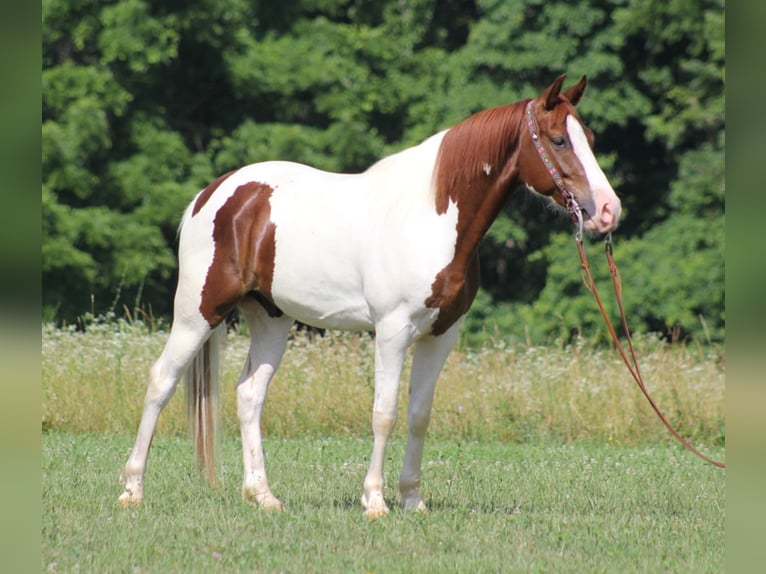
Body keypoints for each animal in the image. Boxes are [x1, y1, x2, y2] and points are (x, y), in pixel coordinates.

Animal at [118, 74, 624, 520]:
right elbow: (384, 413)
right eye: (559, 140)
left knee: (249, 395)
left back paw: (264, 496)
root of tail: (212, 194)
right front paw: (375, 502)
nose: (607, 210)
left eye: (590, 136)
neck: (431, 216)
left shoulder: (442, 335)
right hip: (197, 312)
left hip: (271, 319)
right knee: (161, 381)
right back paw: (132, 490)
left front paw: (413, 500)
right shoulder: (393, 331)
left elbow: (418, 414)